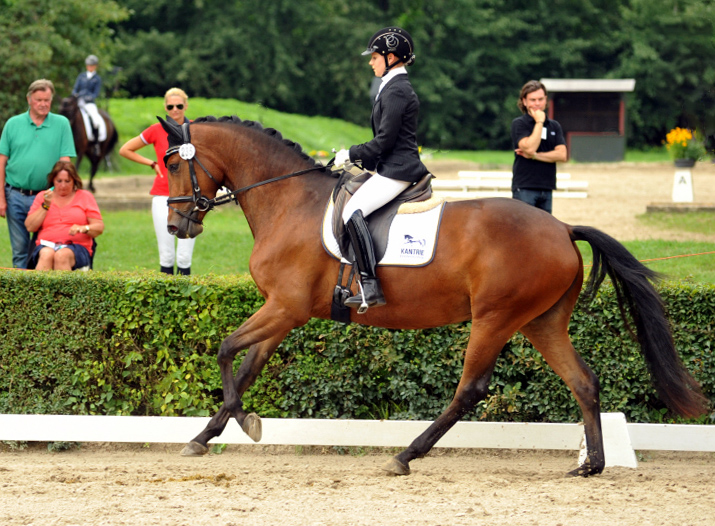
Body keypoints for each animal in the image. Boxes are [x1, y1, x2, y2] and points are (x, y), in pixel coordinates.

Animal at [158, 115, 712, 478]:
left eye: (177, 167)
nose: (177, 225)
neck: (288, 201)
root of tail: (561, 228)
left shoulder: (284, 307)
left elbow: (226, 350)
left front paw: (245, 422)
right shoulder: (285, 311)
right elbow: (246, 364)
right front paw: (203, 437)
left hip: (495, 318)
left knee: (470, 389)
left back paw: (405, 455)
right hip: (542, 322)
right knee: (584, 381)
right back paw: (592, 465)